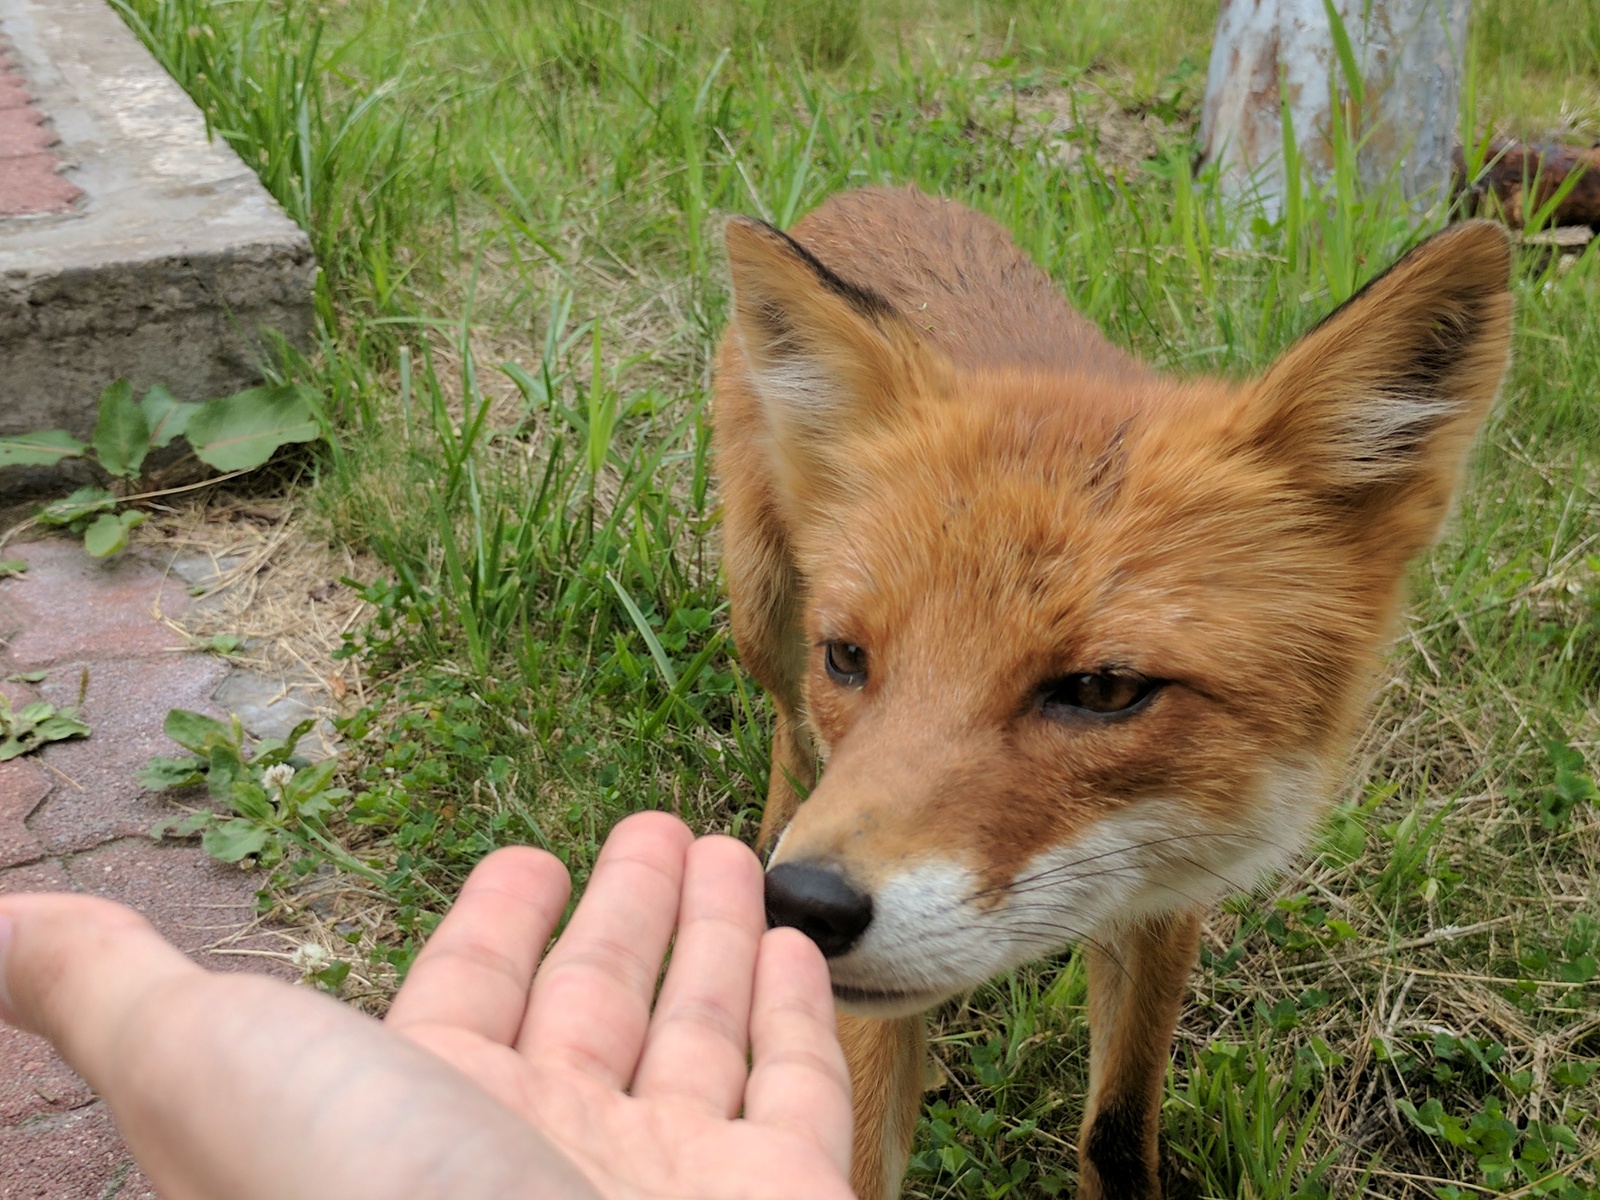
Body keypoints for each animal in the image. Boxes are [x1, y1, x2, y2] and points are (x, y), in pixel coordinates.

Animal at [713, 188, 1510, 1200]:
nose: (801, 906)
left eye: (1103, 688)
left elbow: (1118, 1130)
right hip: (761, 606)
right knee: (787, 729)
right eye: (849, 658)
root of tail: (882, 191)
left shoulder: (1167, 890)